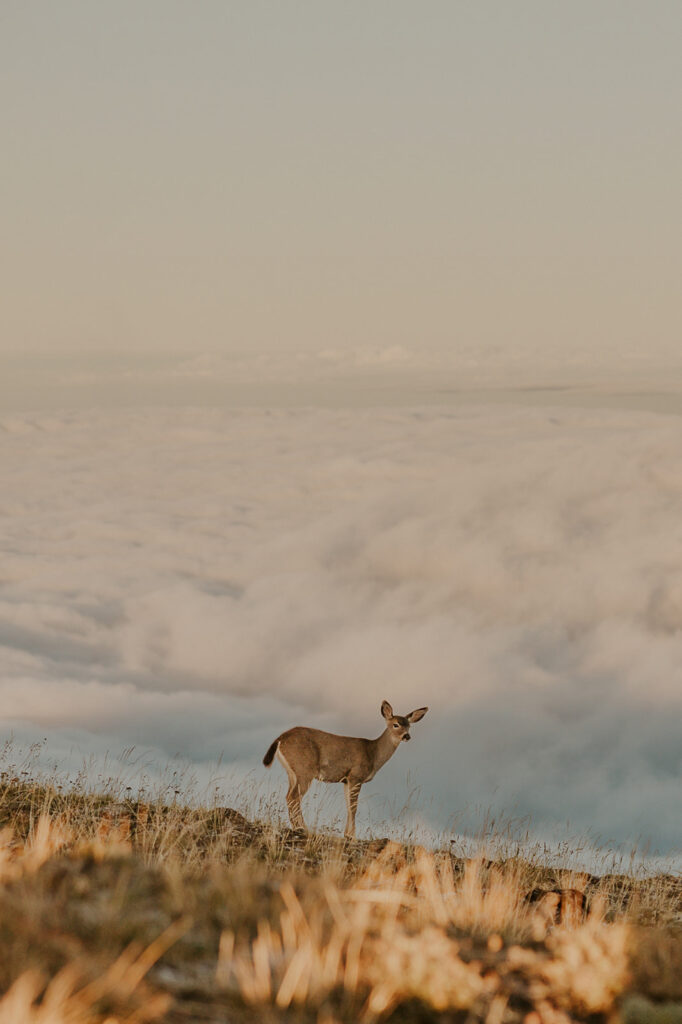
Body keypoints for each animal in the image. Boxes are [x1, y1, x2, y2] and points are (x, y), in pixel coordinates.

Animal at [262, 704, 428, 839]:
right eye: (395, 724)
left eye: (409, 726)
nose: (407, 736)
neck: (373, 753)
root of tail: (280, 738)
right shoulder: (356, 776)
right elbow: (354, 807)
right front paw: (352, 836)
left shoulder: (346, 780)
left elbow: (348, 806)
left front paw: (347, 834)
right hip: (305, 769)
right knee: (293, 797)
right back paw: (302, 828)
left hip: (292, 773)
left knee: (289, 796)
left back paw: (298, 827)